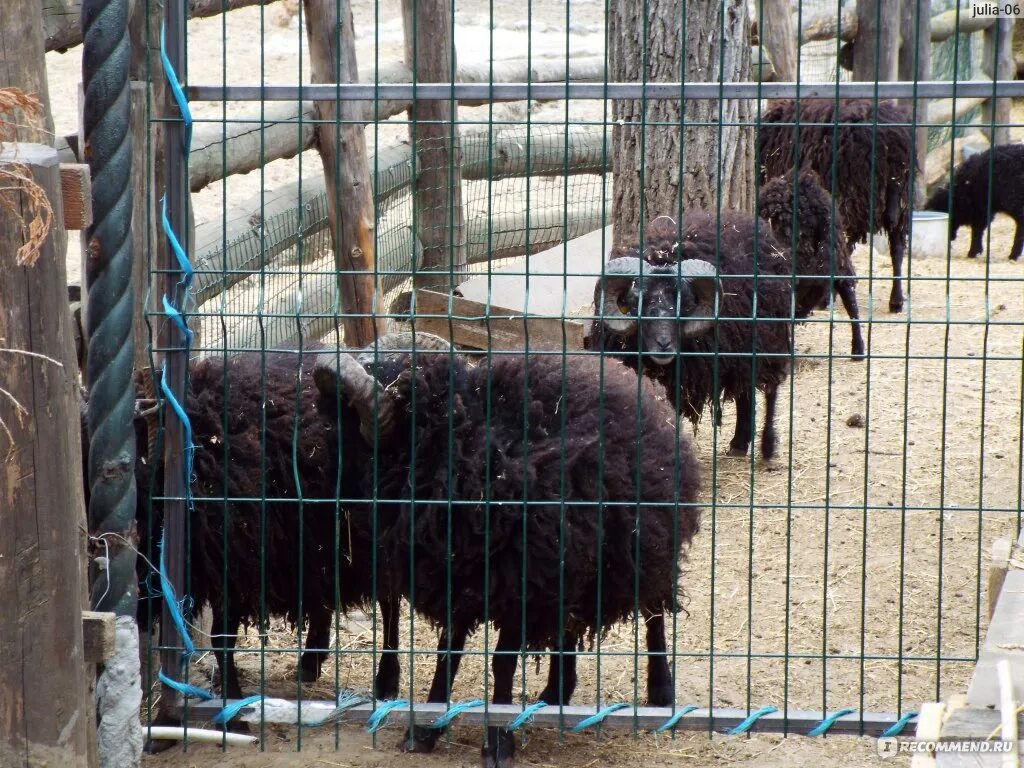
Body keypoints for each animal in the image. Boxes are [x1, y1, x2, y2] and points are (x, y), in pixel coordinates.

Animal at [593, 208, 790, 462]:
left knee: (770, 391)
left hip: (768, 341)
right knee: (745, 392)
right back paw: (739, 443)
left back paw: (767, 447)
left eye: (686, 305)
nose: (663, 345)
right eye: (636, 304)